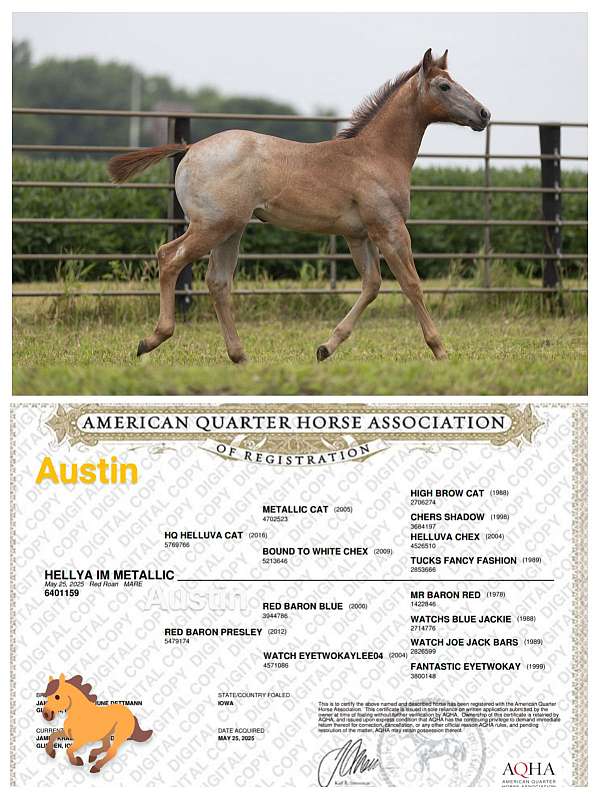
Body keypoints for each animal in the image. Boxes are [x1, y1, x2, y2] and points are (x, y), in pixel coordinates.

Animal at [108, 48, 490, 364]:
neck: (375, 155)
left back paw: (239, 355)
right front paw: (440, 349)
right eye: (444, 86)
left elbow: (371, 285)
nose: (484, 113)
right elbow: (411, 284)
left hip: (231, 230)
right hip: (211, 227)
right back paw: (152, 339)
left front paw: (325, 347)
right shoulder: (389, 228)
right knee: (169, 257)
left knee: (217, 281)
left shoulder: (358, 235)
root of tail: (189, 149)